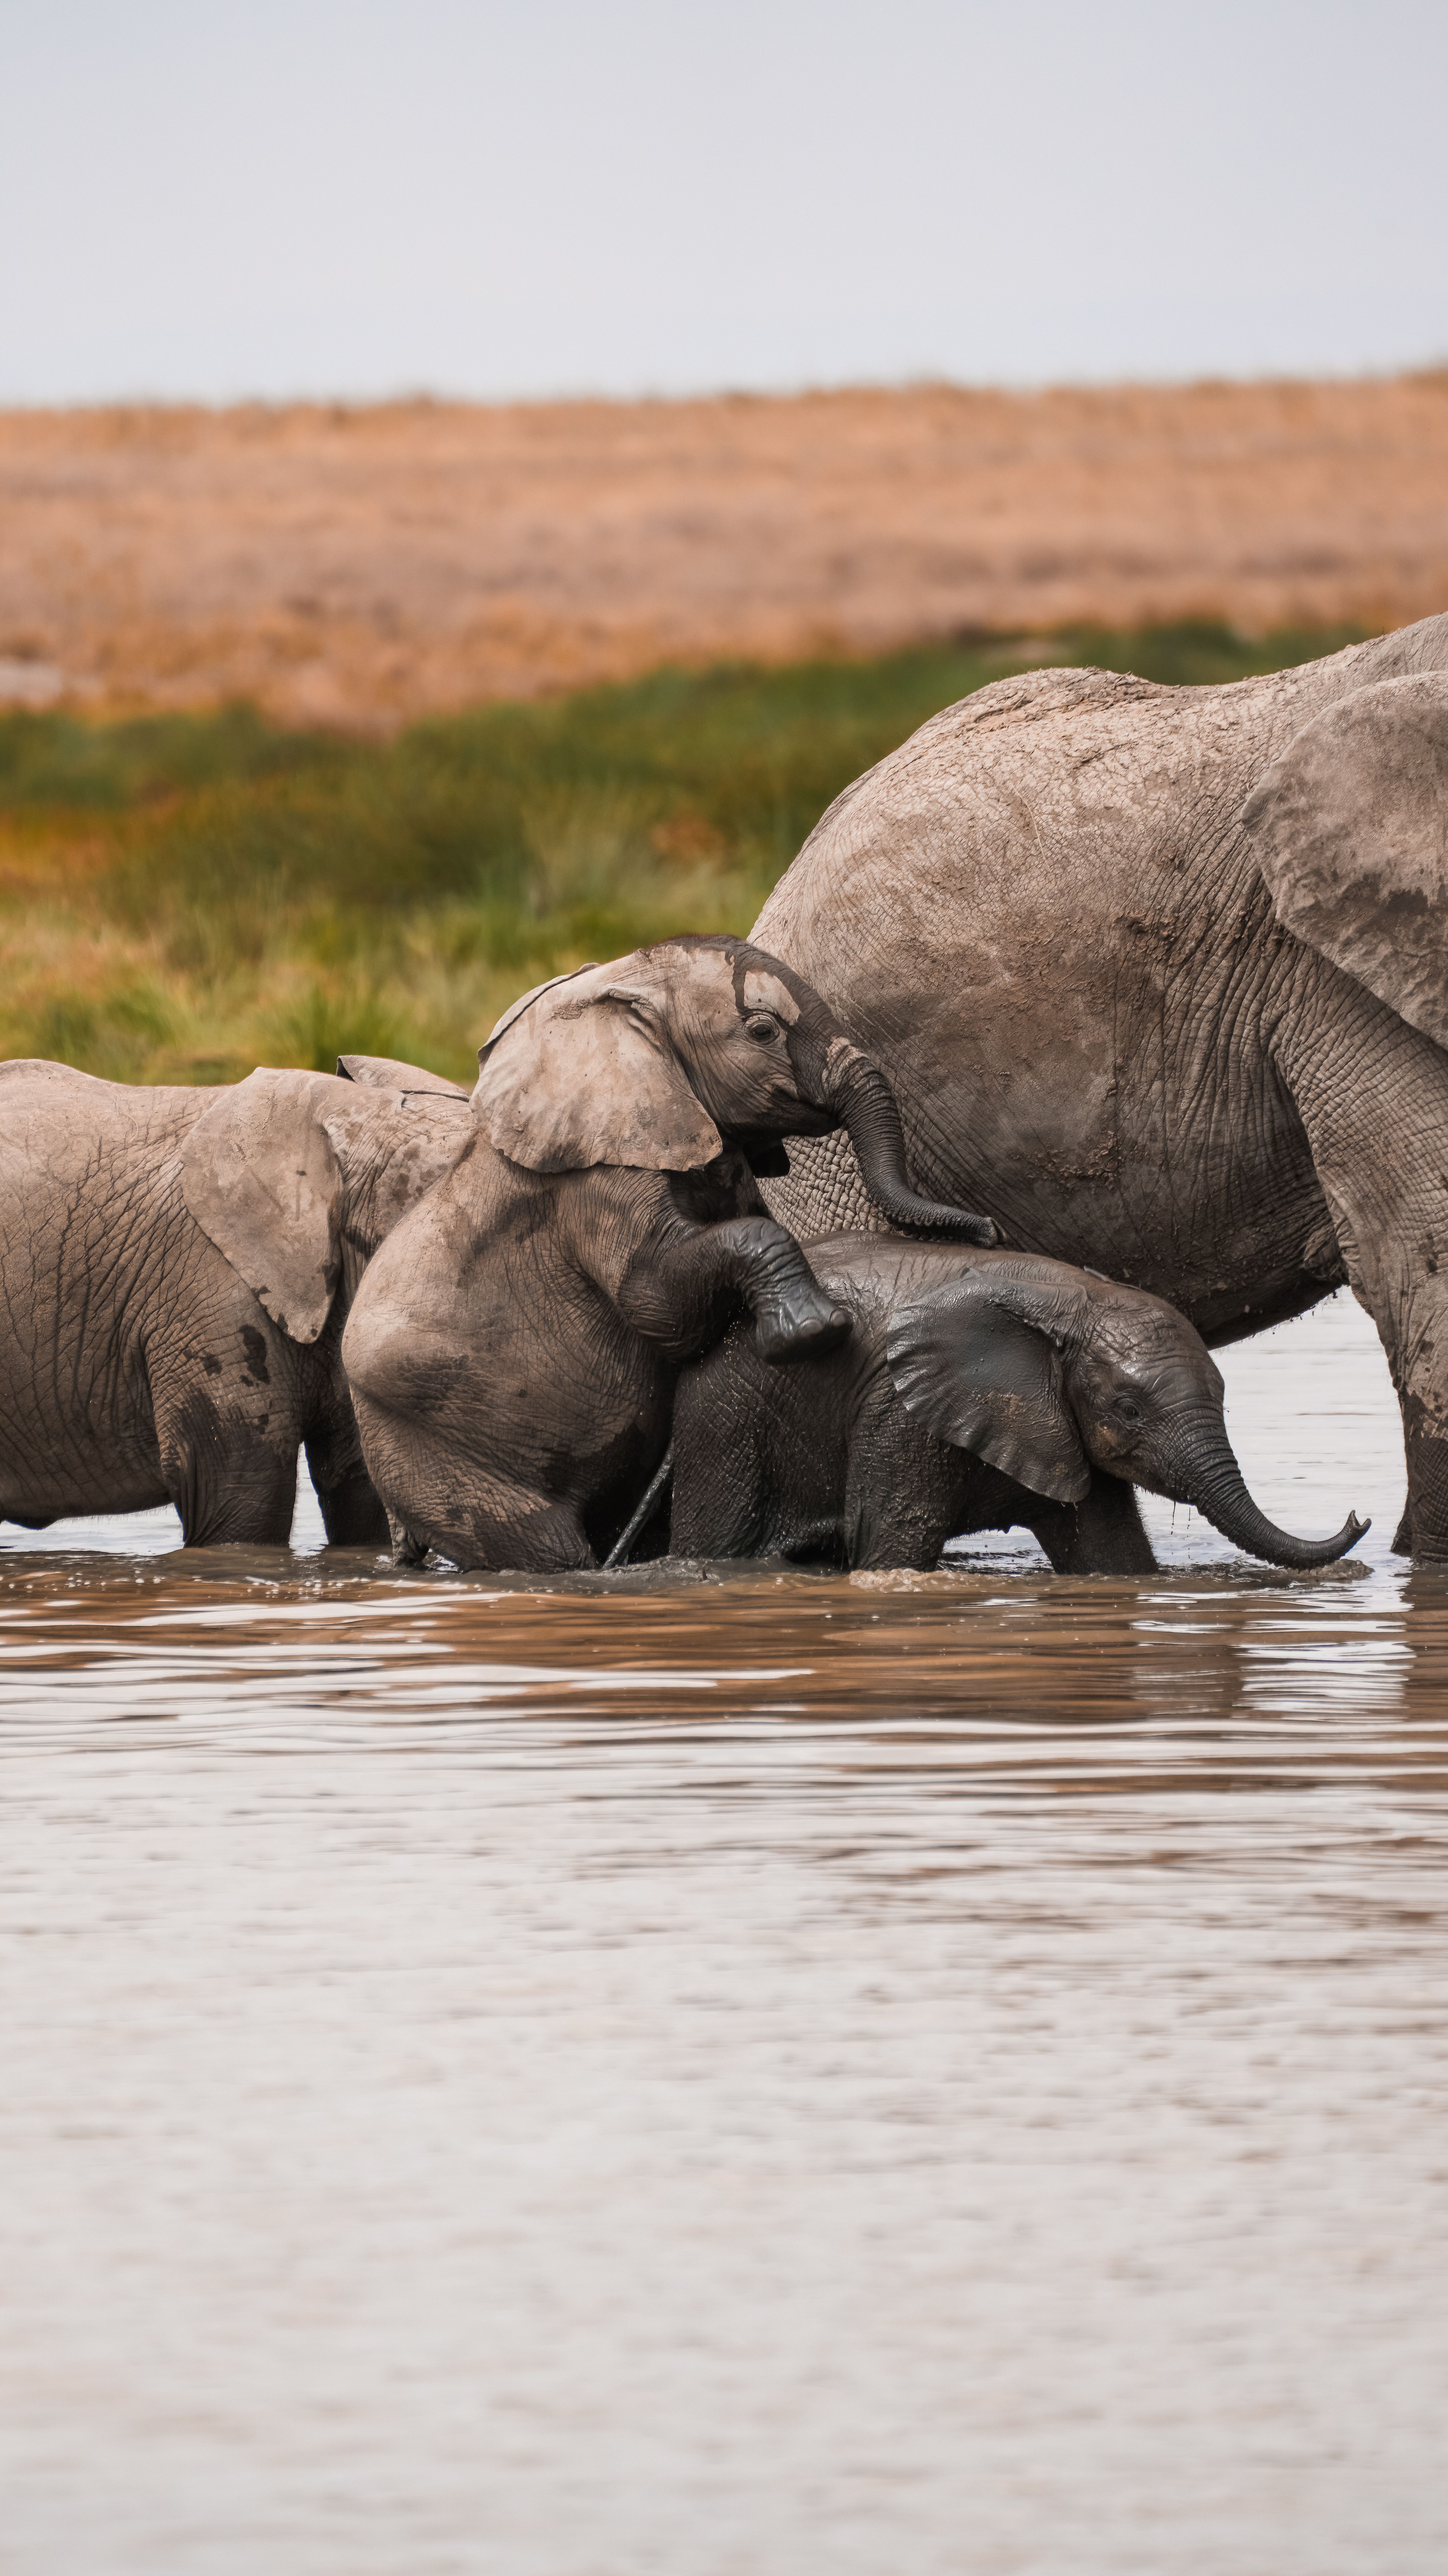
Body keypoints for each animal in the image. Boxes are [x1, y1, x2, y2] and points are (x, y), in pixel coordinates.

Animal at [341, 934, 996, 1572]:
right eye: (763, 1031)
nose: (988, 1230)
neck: (613, 998)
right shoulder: (596, 1180)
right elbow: (657, 1303)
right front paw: (813, 1331)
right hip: (441, 1457)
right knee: (542, 1548)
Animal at [669, 1236, 1366, 1574]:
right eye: (1129, 1409)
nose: (1358, 1517)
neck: (1074, 1302)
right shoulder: (901, 1415)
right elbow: (892, 1550)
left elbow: (1112, 1557)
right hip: (724, 1418)